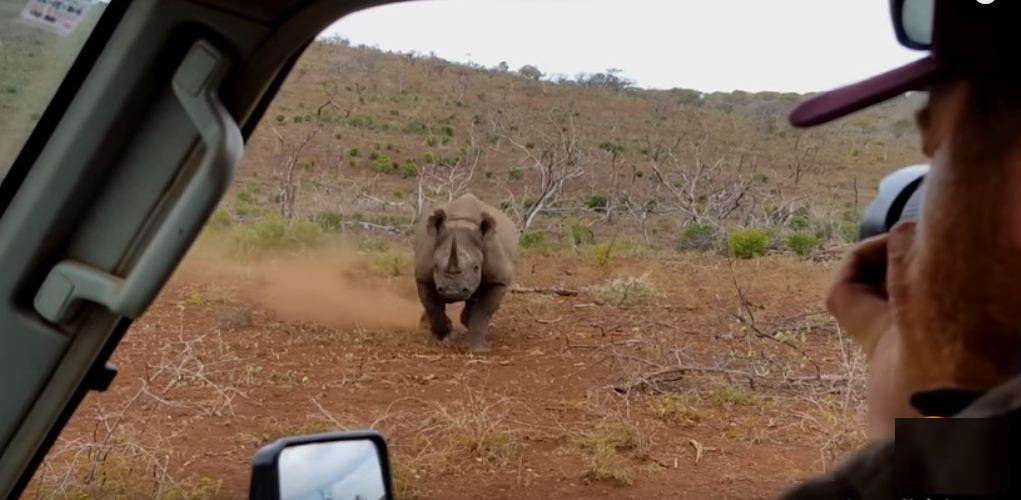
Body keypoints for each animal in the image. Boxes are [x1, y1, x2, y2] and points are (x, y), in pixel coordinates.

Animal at [410, 192, 518, 351]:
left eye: (476, 267)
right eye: (435, 266)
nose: (452, 291)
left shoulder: (498, 279)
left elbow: (484, 310)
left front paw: (475, 349)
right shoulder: (423, 275)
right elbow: (433, 306)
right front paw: (443, 337)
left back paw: (466, 321)